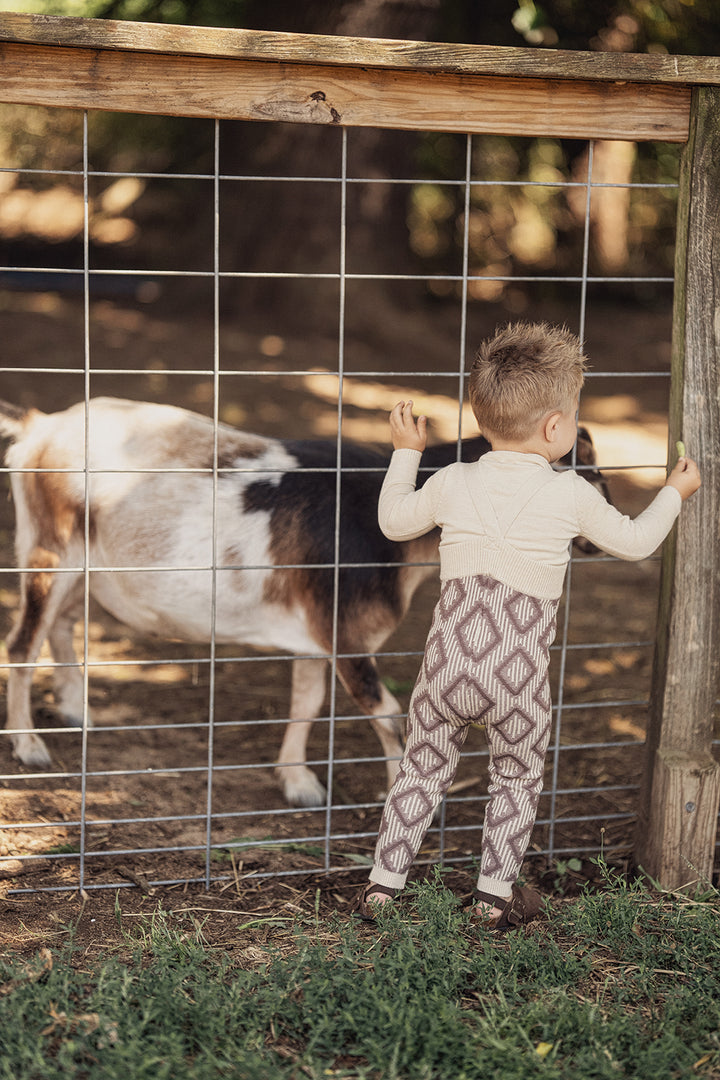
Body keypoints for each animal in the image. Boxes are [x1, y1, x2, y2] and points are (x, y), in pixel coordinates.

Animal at [0, 397, 604, 803]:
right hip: (48, 547)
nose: (595, 540)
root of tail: (41, 426)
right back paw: (29, 745)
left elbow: (307, 702)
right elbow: (388, 714)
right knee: (24, 639)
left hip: (82, 563)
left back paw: (77, 710)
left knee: (61, 623)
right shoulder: (344, 630)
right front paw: (392, 794)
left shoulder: (316, 632)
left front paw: (296, 780)